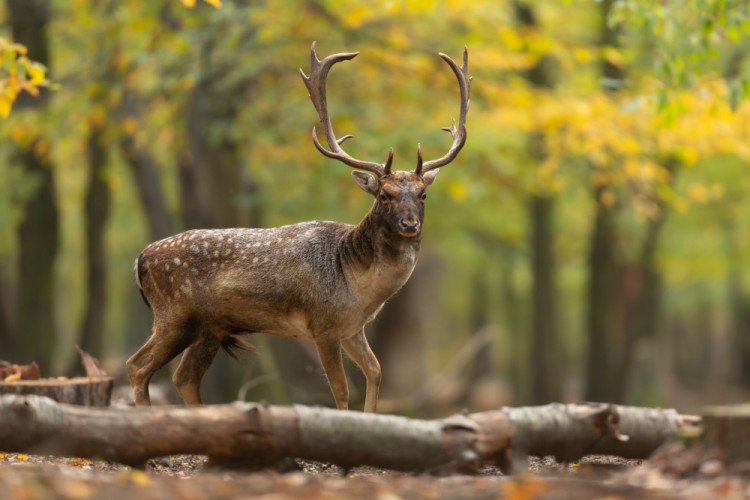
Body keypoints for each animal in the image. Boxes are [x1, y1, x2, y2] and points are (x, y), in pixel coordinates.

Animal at [127, 42, 472, 414]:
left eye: (423, 194)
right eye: (384, 195)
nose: (409, 224)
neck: (357, 284)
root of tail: (140, 259)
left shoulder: (353, 329)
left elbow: (376, 372)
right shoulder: (322, 325)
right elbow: (340, 390)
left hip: (210, 327)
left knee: (184, 377)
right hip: (175, 315)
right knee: (138, 366)